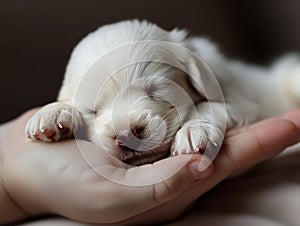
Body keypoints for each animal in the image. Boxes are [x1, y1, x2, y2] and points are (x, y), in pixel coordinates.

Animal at [25, 20, 300, 165]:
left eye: (157, 91)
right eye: (92, 110)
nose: (126, 135)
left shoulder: (242, 102)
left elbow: (209, 106)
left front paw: (191, 132)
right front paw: (52, 115)